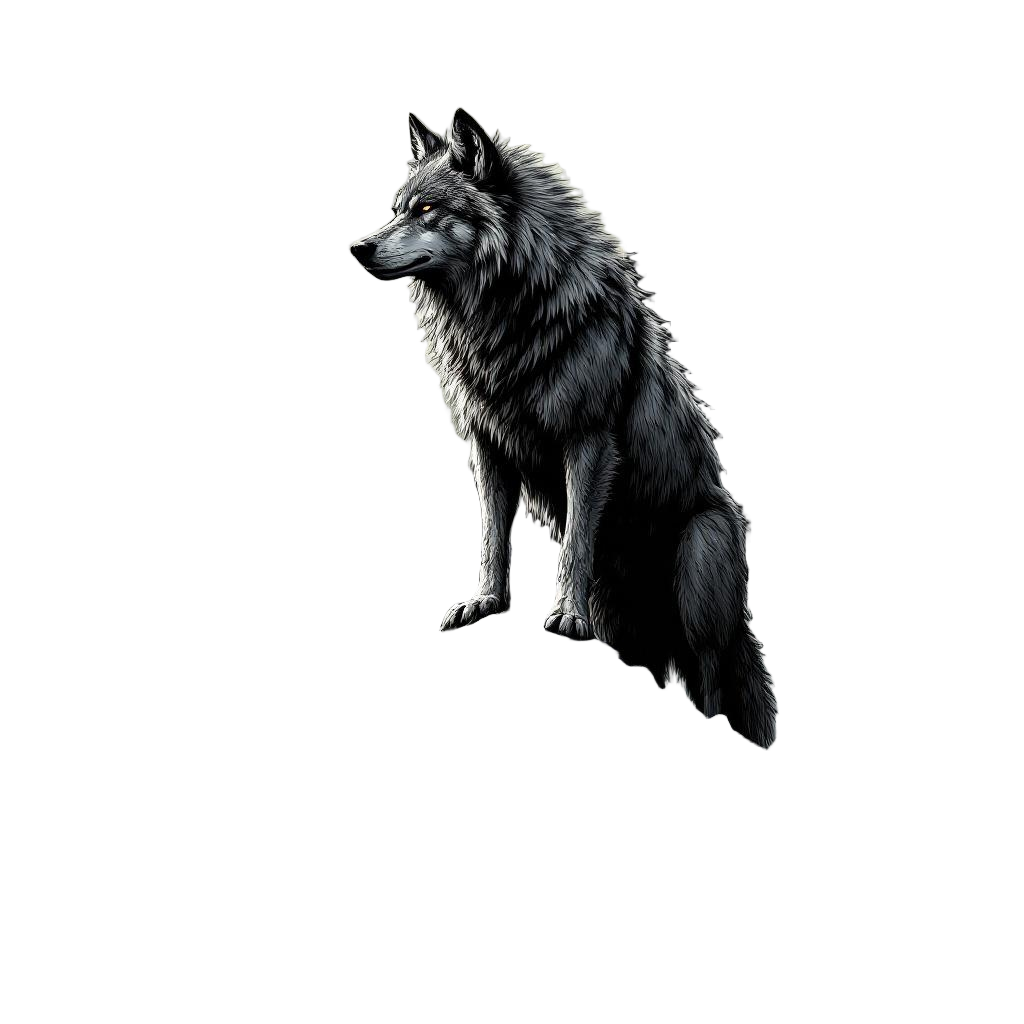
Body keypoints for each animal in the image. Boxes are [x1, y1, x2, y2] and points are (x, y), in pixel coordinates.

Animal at [345, 104, 780, 750]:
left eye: (426, 210)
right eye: (396, 206)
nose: (357, 246)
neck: (506, 313)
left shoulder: (588, 442)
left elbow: (574, 537)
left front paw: (566, 616)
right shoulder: (487, 447)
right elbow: (491, 537)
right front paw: (483, 602)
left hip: (701, 561)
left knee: (709, 673)